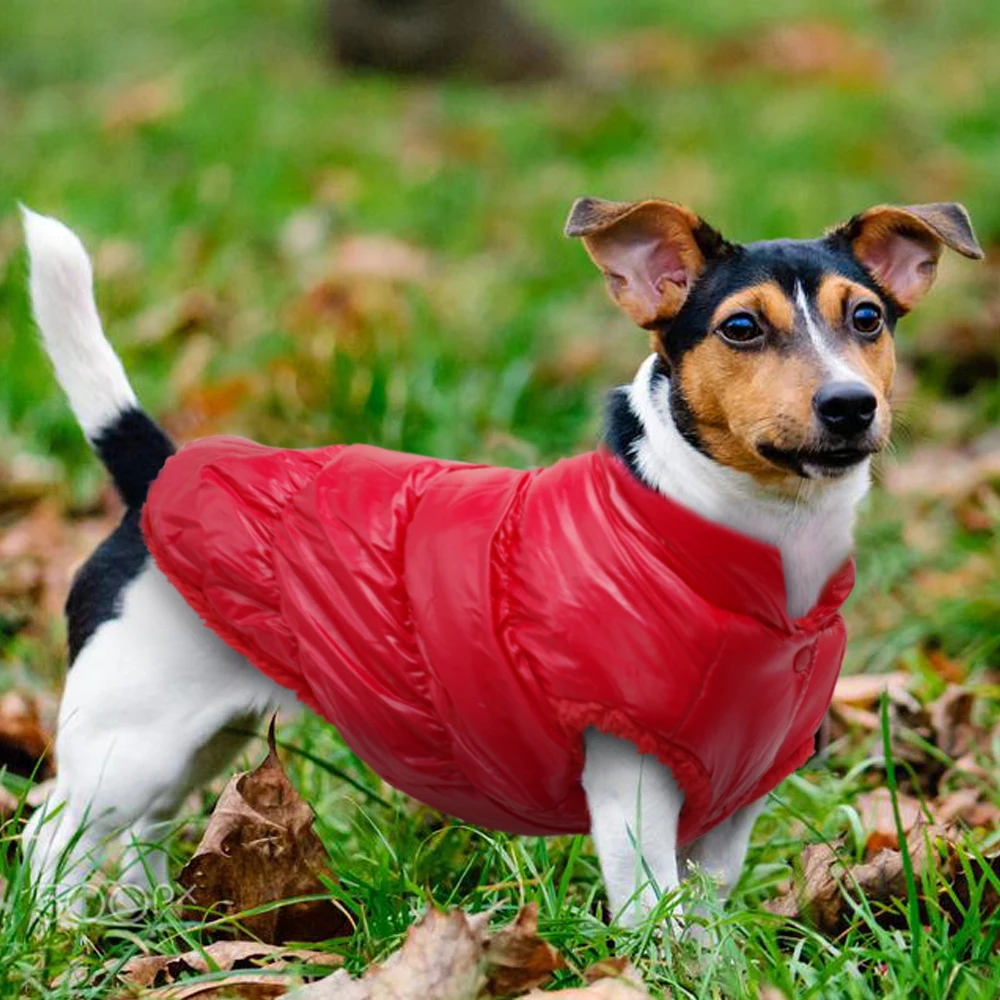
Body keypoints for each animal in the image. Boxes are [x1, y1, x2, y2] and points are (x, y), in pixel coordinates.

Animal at [19, 197, 980, 928]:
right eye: (740, 328)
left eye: (868, 318)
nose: (849, 405)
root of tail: (156, 473)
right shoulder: (632, 790)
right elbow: (653, 915)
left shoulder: (733, 799)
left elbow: (703, 913)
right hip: (127, 742)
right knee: (52, 836)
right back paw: (59, 928)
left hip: (193, 741)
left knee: (143, 836)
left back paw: (147, 922)